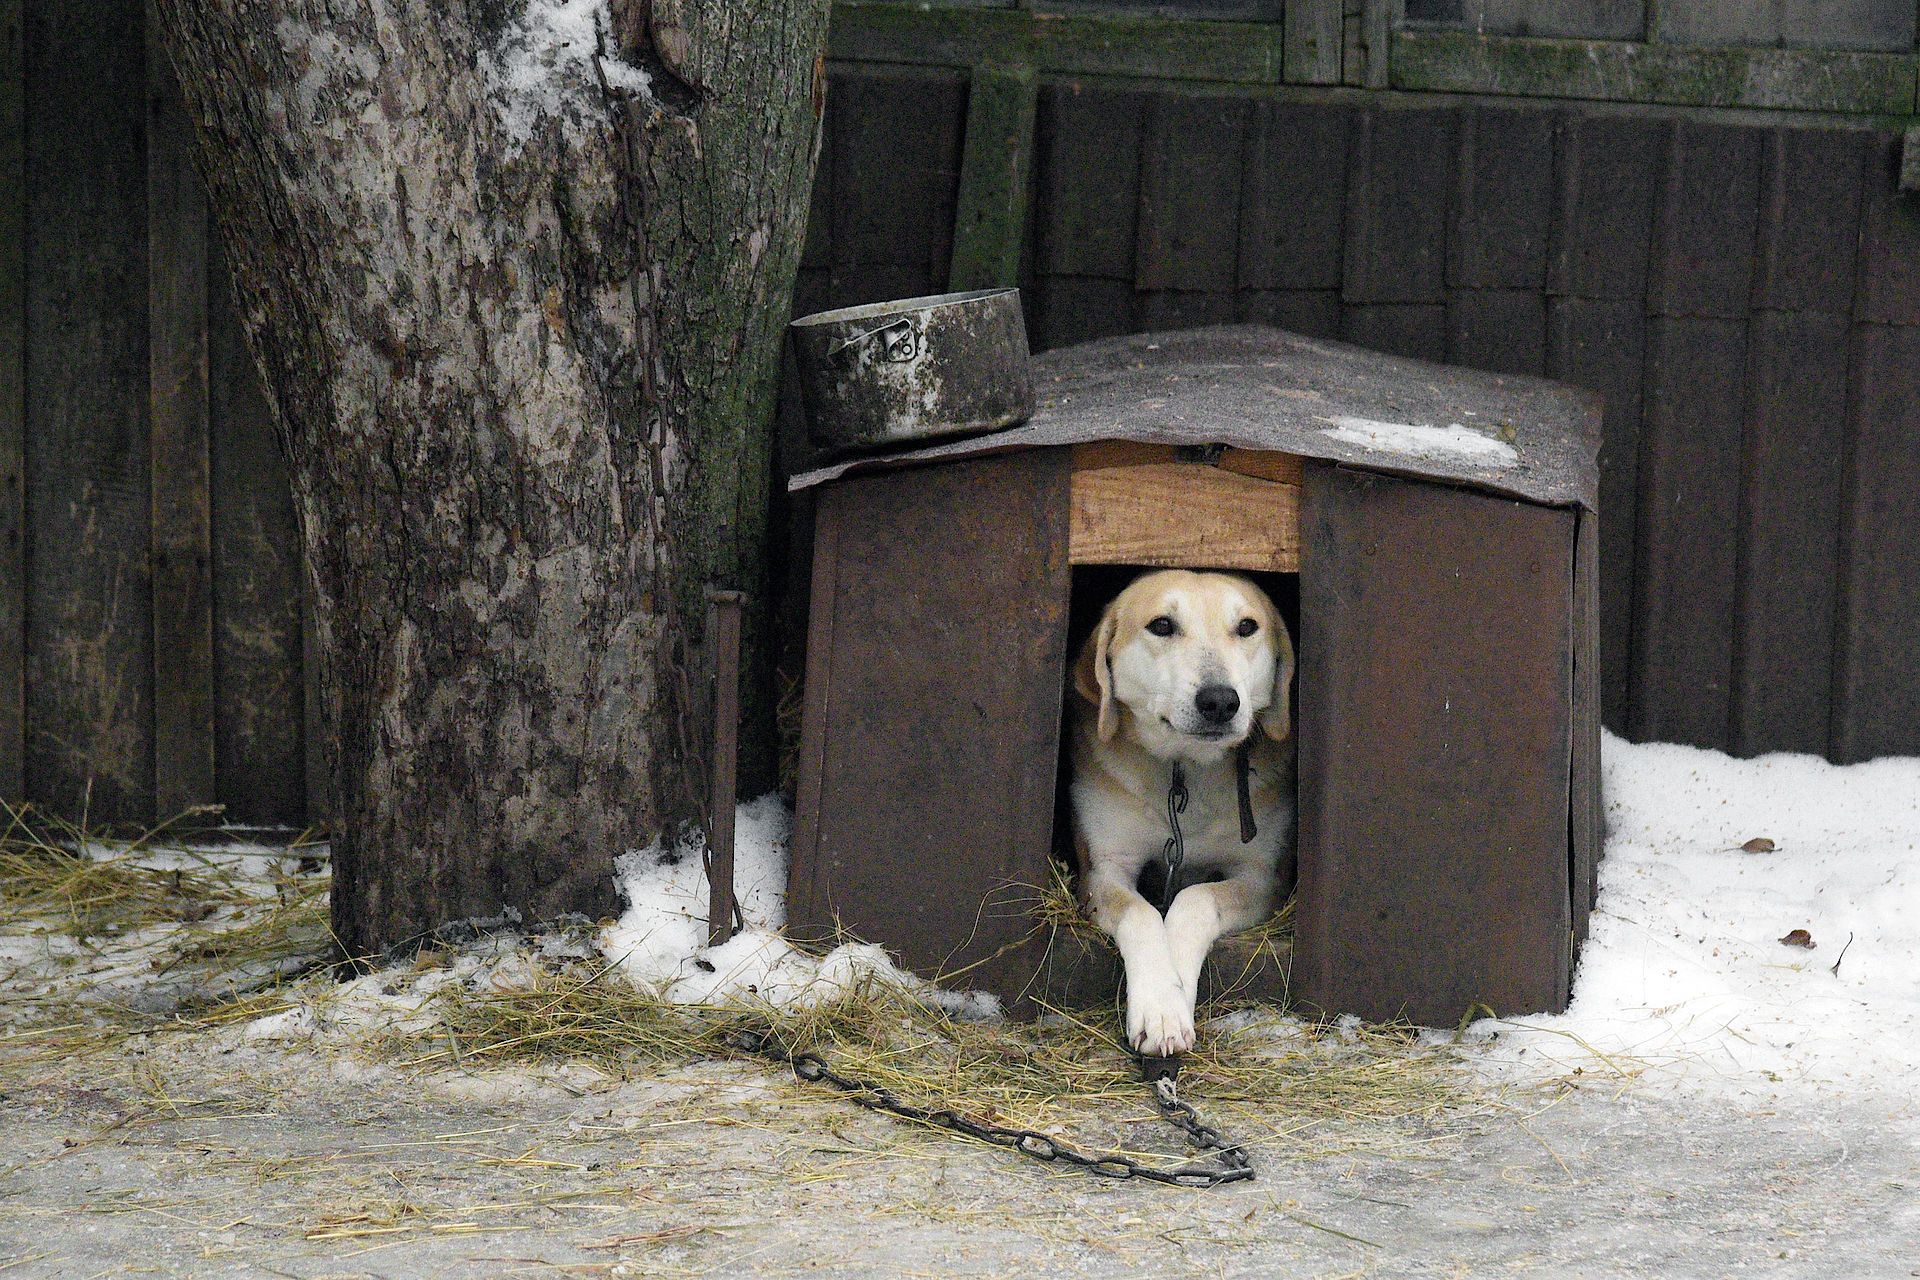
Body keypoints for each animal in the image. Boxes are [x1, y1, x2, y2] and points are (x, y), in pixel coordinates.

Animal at [1067, 571, 1305, 1059]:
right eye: (1161, 625)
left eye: (1247, 627)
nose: (1220, 701)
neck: (1186, 772)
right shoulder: (1103, 871)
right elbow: (1142, 914)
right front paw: (1160, 1003)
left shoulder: (1261, 877)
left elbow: (1195, 899)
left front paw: (1173, 992)